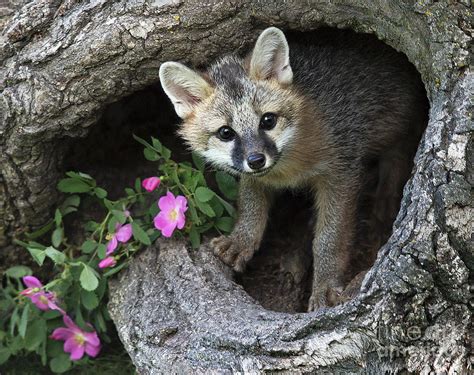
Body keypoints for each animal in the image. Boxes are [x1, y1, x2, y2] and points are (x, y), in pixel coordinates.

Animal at [158, 25, 426, 308]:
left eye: (268, 120)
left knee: (398, 156)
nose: (256, 160)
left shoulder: (342, 171)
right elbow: (251, 206)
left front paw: (325, 285)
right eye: (225, 133)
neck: (289, 170)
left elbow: (329, 239)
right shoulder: (257, 178)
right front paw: (241, 240)